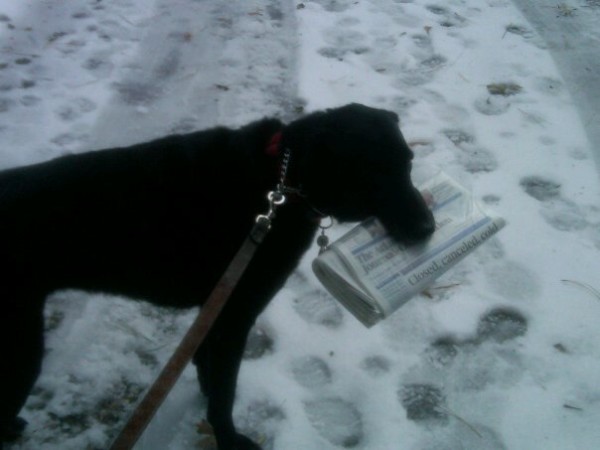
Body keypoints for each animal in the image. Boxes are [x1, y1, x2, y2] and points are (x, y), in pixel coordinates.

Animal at [0, 103, 432, 448]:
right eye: (372, 176)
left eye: (409, 163)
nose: (429, 228)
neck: (282, 180)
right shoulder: (235, 316)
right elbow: (225, 391)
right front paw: (228, 438)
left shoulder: (218, 312)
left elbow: (206, 367)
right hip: (22, 350)